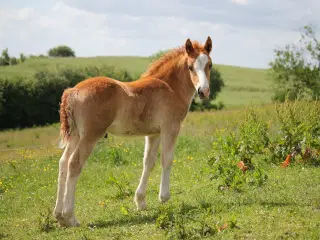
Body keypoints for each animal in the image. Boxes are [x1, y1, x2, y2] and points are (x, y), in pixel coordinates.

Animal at [53, 36, 212, 227]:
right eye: (190, 66)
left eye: (209, 65)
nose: (203, 91)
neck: (170, 87)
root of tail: (73, 91)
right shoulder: (170, 127)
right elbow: (167, 160)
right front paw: (164, 197)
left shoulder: (153, 133)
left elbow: (148, 162)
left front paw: (140, 201)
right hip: (90, 136)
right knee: (74, 164)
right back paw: (70, 217)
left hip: (76, 135)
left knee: (63, 162)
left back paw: (59, 216)